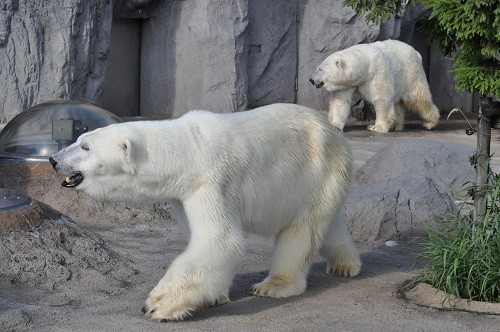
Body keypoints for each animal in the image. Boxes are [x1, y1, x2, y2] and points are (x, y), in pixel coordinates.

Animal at [49, 103, 360, 322]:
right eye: (79, 138)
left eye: (85, 146)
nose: (53, 159)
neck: (187, 151)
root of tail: (335, 133)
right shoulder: (183, 193)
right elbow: (200, 239)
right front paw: (214, 296)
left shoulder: (211, 181)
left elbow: (220, 240)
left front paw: (159, 303)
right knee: (327, 223)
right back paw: (344, 264)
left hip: (316, 171)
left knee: (302, 228)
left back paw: (274, 285)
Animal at [310, 39, 440, 132]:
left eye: (320, 69)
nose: (311, 80)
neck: (365, 66)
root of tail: (417, 53)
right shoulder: (347, 84)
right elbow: (340, 101)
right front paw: (335, 125)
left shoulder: (377, 73)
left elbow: (381, 99)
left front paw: (376, 127)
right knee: (398, 103)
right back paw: (395, 125)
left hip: (410, 72)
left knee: (417, 98)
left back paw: (430, 123)